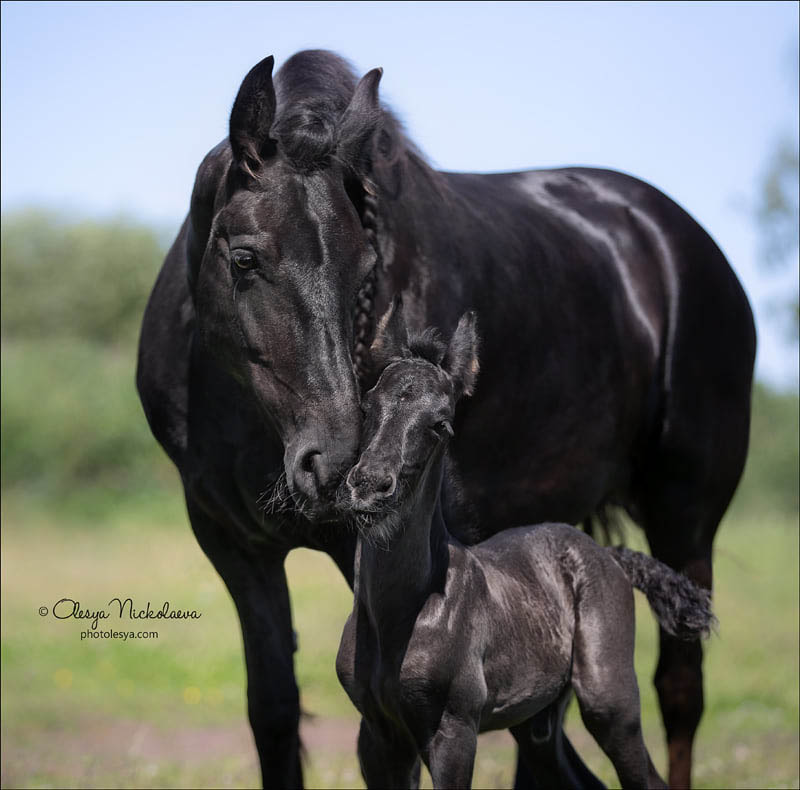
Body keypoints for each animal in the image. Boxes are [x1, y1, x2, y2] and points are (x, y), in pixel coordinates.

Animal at [334, 300, 716, 788]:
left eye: (441, 425)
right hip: (537, 723)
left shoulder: (453, 731)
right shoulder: (379, 736)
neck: (400, 616)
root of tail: (609, 556)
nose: (369, 487)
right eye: (367, 405)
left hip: (611, 703)